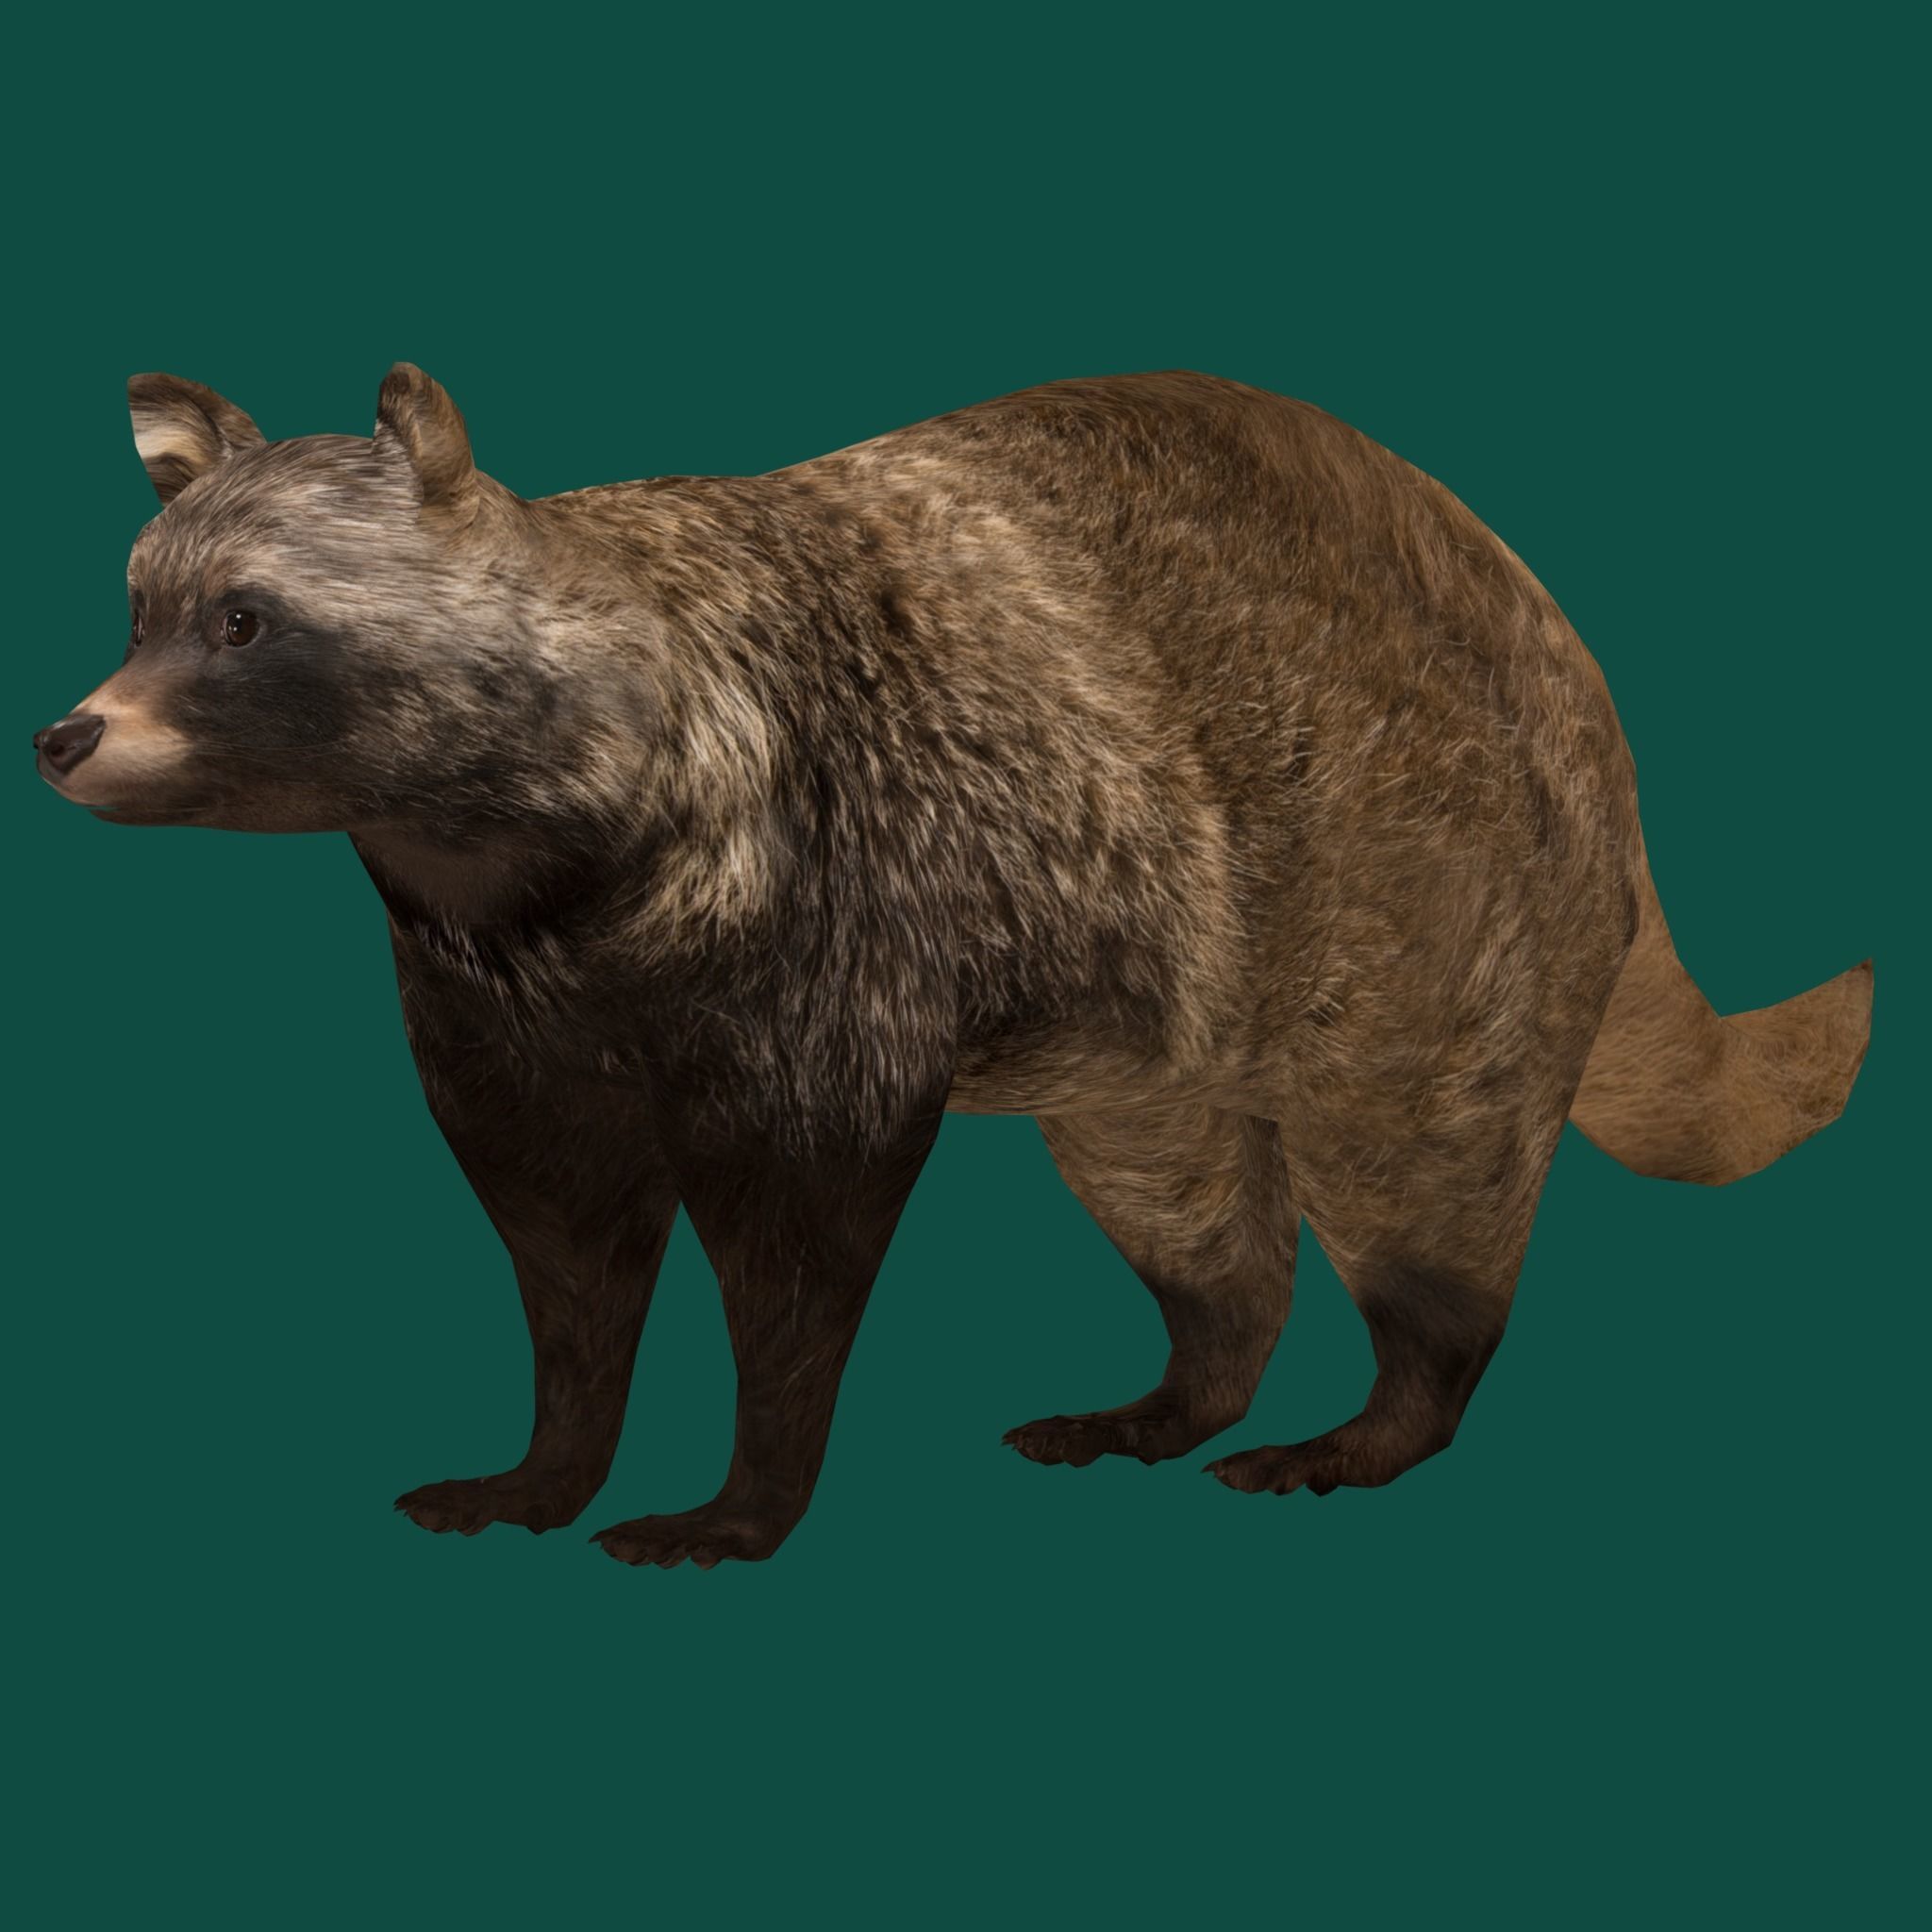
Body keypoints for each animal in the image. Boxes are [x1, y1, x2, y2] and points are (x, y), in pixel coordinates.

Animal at [33, 365, 1873, 1567]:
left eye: (246, 620)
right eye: (138, 609)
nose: (64, 736)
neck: (498, 865)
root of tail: (1563, 657)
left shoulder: (837, 907)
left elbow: (798, 1240)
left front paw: (744, 1490)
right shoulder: (497, 1008)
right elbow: (560, 1239)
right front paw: (554, 1452)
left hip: (1417, 884)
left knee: (1416, 1161)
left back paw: (1387, 1405)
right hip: (1162, 1022)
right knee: (1187, 1209)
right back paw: (1190, 1378)